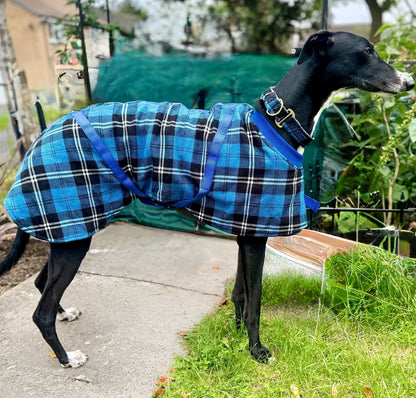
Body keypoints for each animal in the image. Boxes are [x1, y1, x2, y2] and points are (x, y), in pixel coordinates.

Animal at [1, 30, 414, 366]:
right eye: (367, 51)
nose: (408, 81)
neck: (279, 120)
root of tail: (36, 141)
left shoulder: (246, 230)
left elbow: (240, 293)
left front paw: (235, 336)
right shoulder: (256, 234)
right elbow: (255, 299)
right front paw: (257, 351)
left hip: (67, 232)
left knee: (42, 287)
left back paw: (65, 316)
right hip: (72, 229)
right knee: (40, 311)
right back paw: (67, 358)